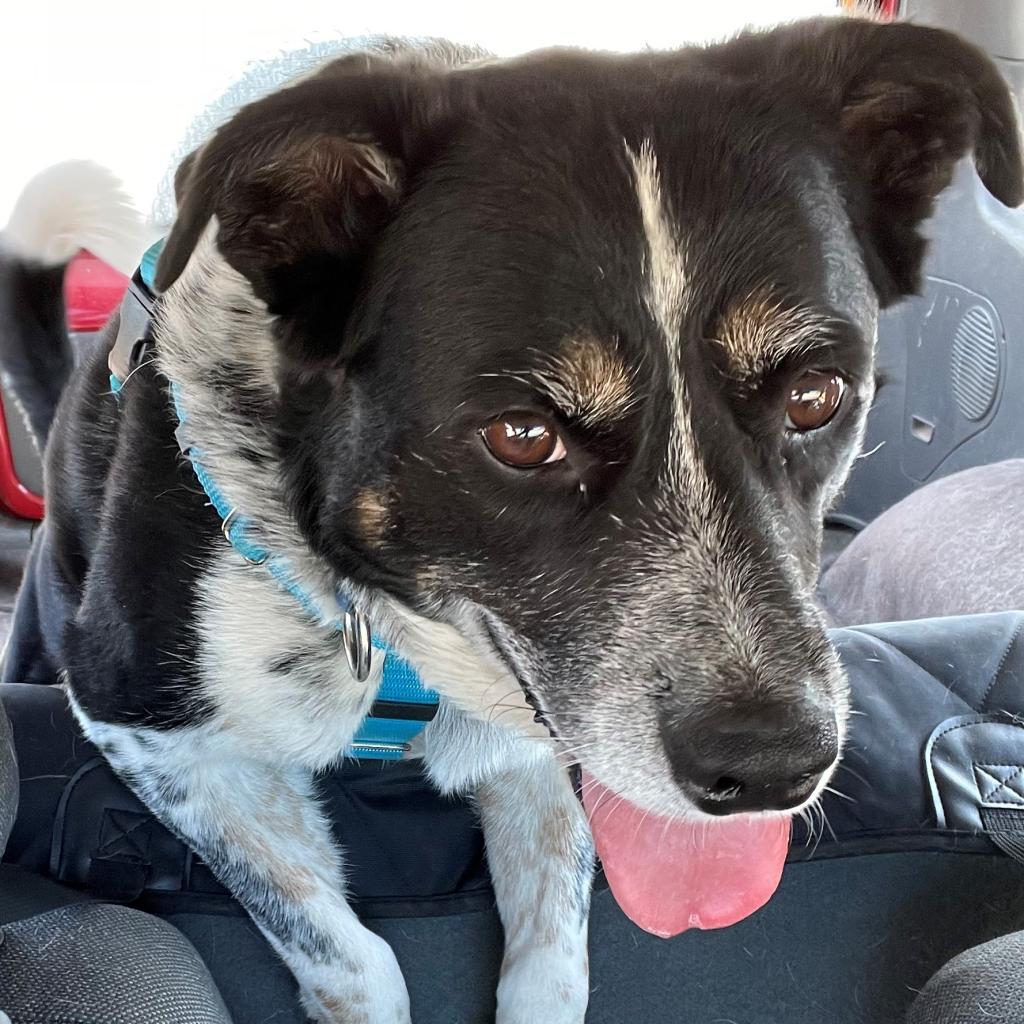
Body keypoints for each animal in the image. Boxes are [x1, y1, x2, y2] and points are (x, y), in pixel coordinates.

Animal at [0, 16, 1019, 1024]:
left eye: (817, 395)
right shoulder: (152, 732)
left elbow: (553, 957)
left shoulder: (545, 754)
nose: (773, 770)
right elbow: (349, 952)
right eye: (522, 436)